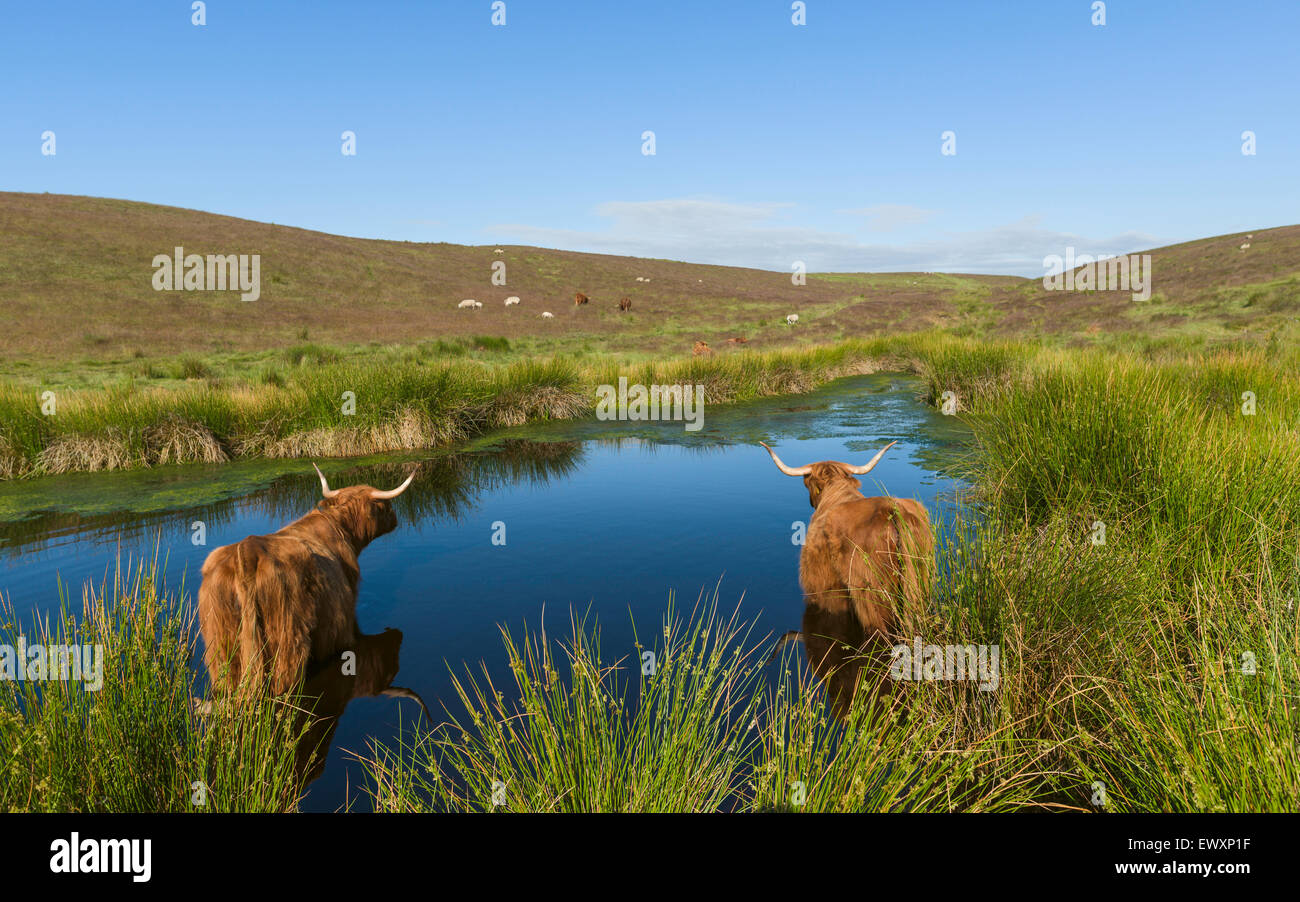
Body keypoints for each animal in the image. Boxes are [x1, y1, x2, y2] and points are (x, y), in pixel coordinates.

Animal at [197, 464, 416, 699]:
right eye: (386, 507)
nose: (395, 519)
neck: (341, 528)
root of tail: (247, 552)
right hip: (286, 639)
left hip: (221, 644)